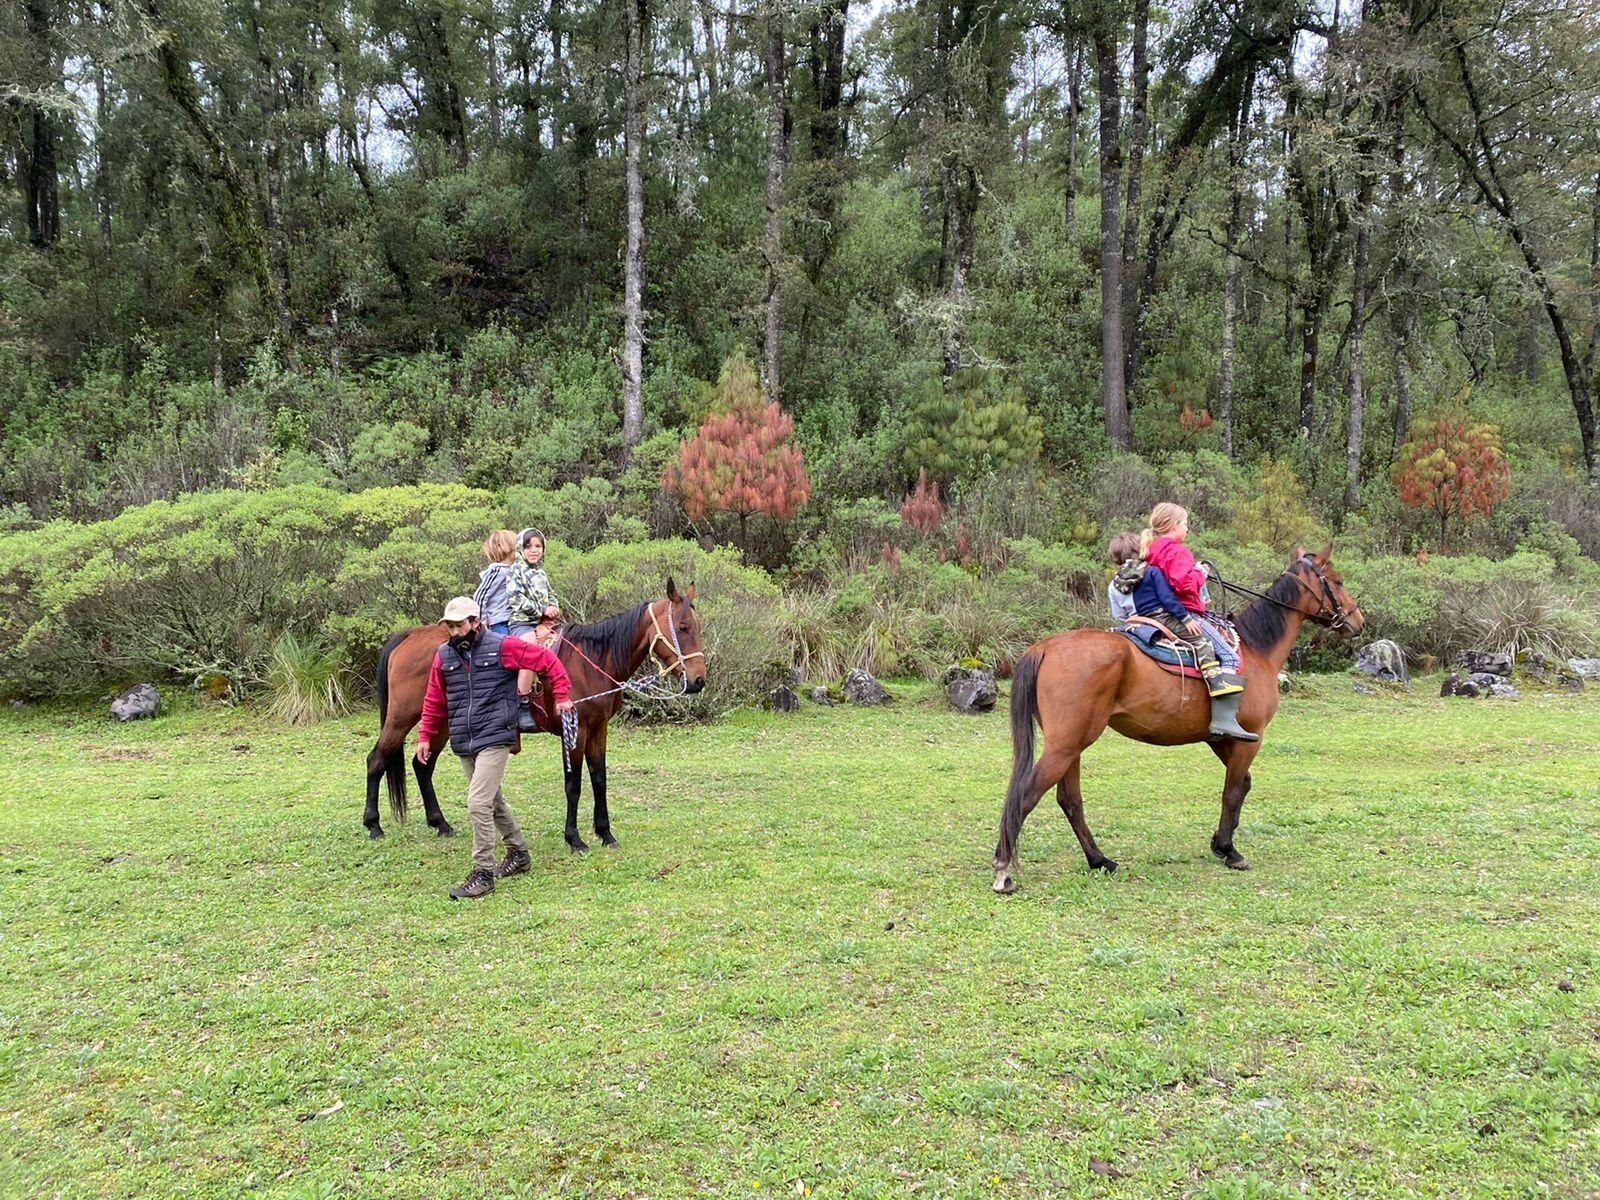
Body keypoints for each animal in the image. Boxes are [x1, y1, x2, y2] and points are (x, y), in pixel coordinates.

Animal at [362, 579, 707, 851]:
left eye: (698, 627)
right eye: (683, 627)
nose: (698, 680)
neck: (593, 661)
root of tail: (408, 635)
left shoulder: (599, 729)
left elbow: (599, 780)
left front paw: (605, 833)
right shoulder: (575, 731)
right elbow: (574, 785)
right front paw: (575, 839)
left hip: (444, 722)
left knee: (422, 765)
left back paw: (441, 824)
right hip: (401, 718)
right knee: (377, 759)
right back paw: (374, 825)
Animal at [991, 545, 1365, 893]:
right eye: (1337, 581)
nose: (1358, 621)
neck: (1256, 649)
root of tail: (1044, 648)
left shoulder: (1223, 738)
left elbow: (1242, 785)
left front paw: (1220, 843)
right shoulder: (1250, 737)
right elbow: (1232, 791)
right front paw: (1230, 850)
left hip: (1071, 746)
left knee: (1069, 800)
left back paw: (1099, 860)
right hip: (1065, 746)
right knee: (1026, 796)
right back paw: (1004, 871)